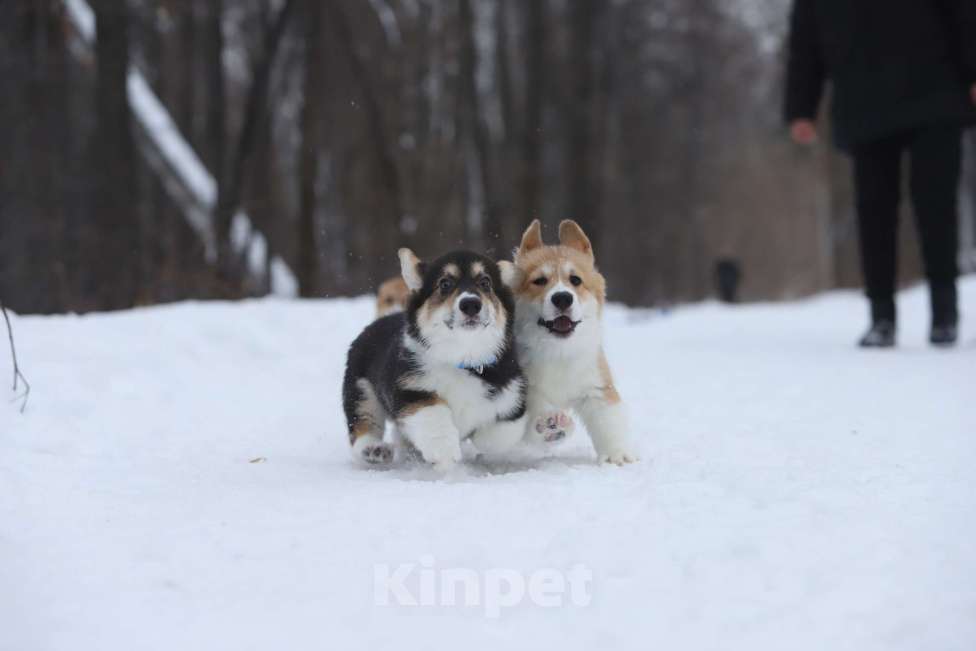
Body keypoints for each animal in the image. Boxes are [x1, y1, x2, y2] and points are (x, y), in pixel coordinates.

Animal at [344, 248, 528, 468]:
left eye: (485, 282)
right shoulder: (412, 391)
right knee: (362, 423)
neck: (462, 358)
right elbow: (434, 416)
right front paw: (444, 451)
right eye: (445, 284)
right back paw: (374, 450)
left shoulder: (513, 398)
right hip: (360, 388)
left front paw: (480, 439)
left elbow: (499, 436)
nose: (471, 304)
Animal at [496, 222, 640, 466]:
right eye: (539, 281)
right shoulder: (526, 388)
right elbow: (536, 409)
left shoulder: (596, 385)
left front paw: (617, 455)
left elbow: (608, 421)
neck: (558, 351)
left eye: (576, 280)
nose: (562, 298)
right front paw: (550, 426)